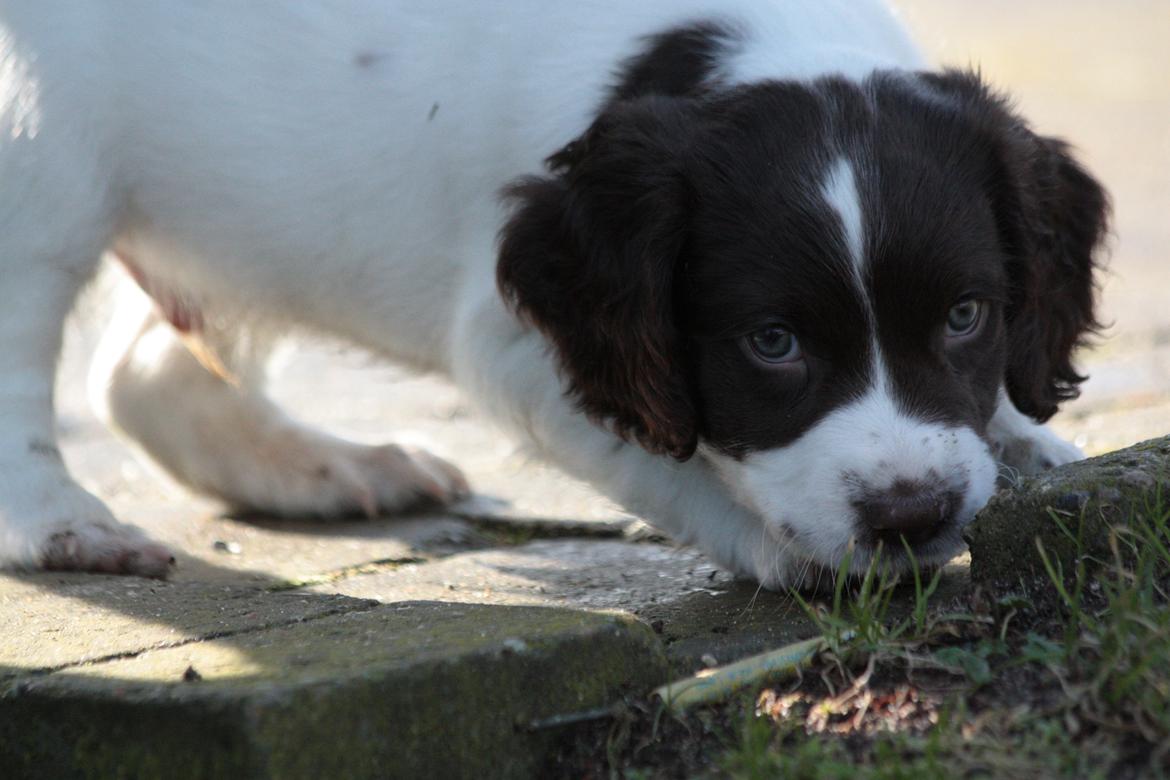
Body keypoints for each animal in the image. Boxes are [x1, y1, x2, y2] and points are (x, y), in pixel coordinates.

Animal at [0, 0, 1104, 584]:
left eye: (966, 316)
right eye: (772, 343)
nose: (913, 515)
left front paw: (1024, 438)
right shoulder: (518, 343)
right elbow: (665, 460)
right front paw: (784, 548)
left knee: (146, 377)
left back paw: (327, 468)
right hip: (42, 163)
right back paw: (65, 524)